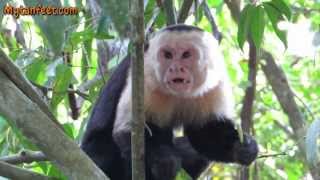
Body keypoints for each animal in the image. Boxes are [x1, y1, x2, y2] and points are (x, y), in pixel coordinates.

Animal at [81, 24, 258, 180]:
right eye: (167, 55)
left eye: (186, 55)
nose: (175, 68)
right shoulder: (145, 73)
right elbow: (128, 131)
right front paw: (163, 160)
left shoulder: (214, 83)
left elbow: (204, 131)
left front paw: (242, 147)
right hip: (97, 159)